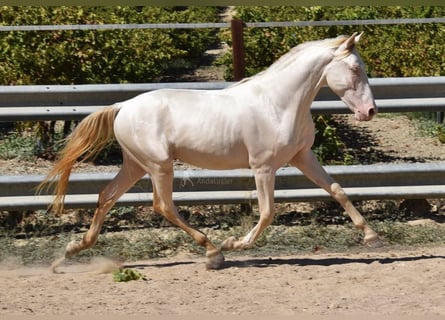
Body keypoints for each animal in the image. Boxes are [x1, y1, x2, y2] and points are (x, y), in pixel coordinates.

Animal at [40, 31, 382, 270]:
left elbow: (337, 189)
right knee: (163, 206)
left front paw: (371, 236)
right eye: (355, 68)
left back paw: (69, 253)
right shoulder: (263, 167)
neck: (277, 103)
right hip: (159, 165)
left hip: (135, 165)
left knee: (106, 196)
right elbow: (267, 212)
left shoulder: (302, 157)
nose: (369, 111)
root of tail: (123, 106)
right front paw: (235, 244)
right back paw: (214, 251)